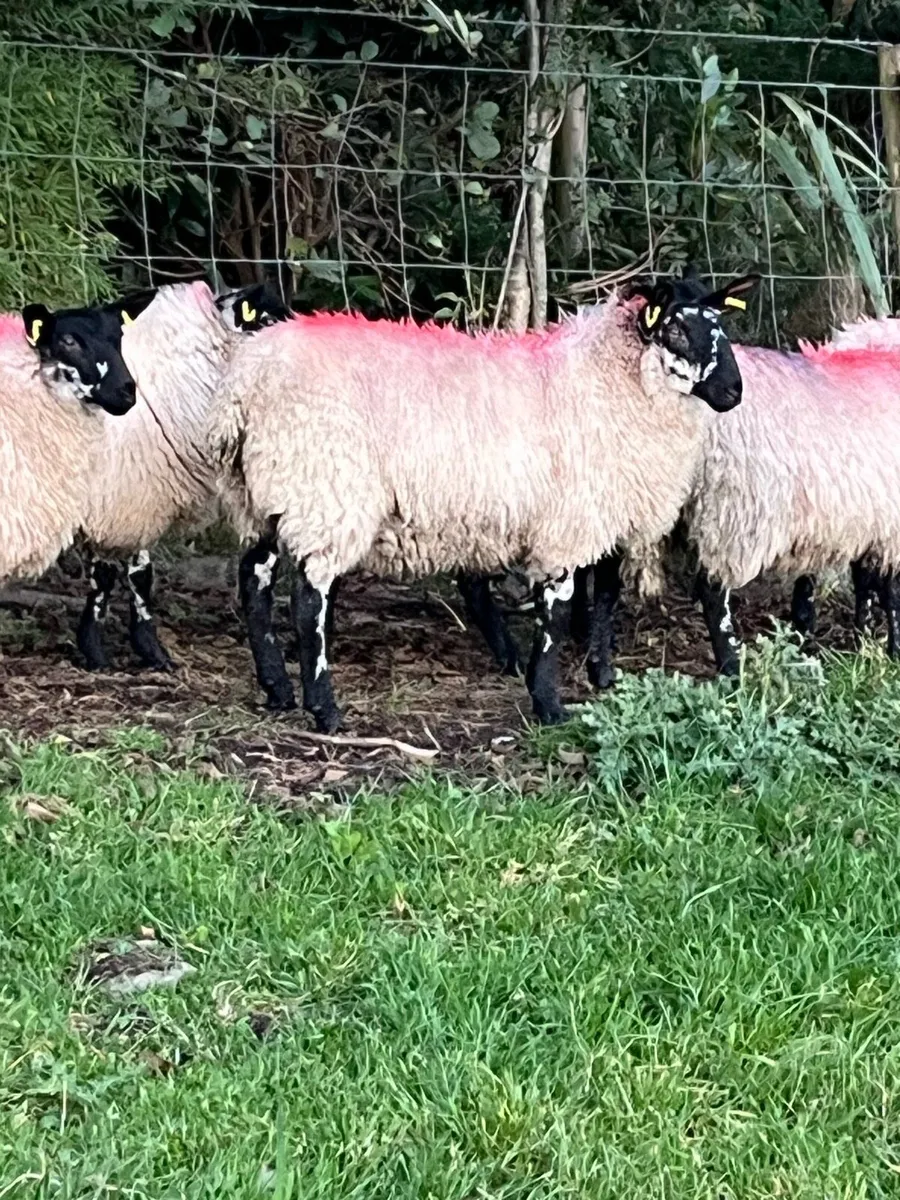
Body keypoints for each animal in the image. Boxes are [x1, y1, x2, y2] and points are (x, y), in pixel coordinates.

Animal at [73, 280, 290, 671]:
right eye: (266, 321)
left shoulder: (130, 493)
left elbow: (132, 573)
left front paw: (144, 651)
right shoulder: (122, 495)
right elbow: (115, 573)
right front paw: (101, 652)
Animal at [212, 272, 755, 730]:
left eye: (721, 326)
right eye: (677, 330)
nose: (734, 392)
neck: (607, 379)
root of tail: (246, 383)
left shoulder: (604, 508)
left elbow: (604, 595)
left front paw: (601, 674)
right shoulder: (566, 523)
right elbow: (557, 612)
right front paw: (549, 702)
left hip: (264, 494)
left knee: (254, 581)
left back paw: (277, 688)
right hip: (324, 490)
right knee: (309, 601)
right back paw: (324, 709)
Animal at [581, 311, 900, 681]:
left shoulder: (867, 512)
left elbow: (864, 580)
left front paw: (860, 640)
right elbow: (888, 588)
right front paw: (890, 649)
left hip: (639, 489)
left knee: (604, 576)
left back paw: (599, 665)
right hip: (727, 500)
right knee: (712, 589)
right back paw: (731, 666)